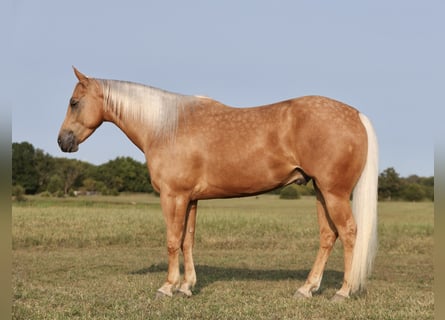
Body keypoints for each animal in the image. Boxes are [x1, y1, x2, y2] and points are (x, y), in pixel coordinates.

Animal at [59, 67, 376, 300]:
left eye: (74, 103)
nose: (63, 141)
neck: (166, 127)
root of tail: (355, 114)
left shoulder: (173, 196)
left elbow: (172, 241)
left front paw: (167, 287)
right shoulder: (190, 198)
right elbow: (187, 240)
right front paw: (186, 287)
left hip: (334, 193)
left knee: (349, 232)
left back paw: (343, 292)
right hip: (321, 191)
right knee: (328, 236)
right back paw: (307, 289)